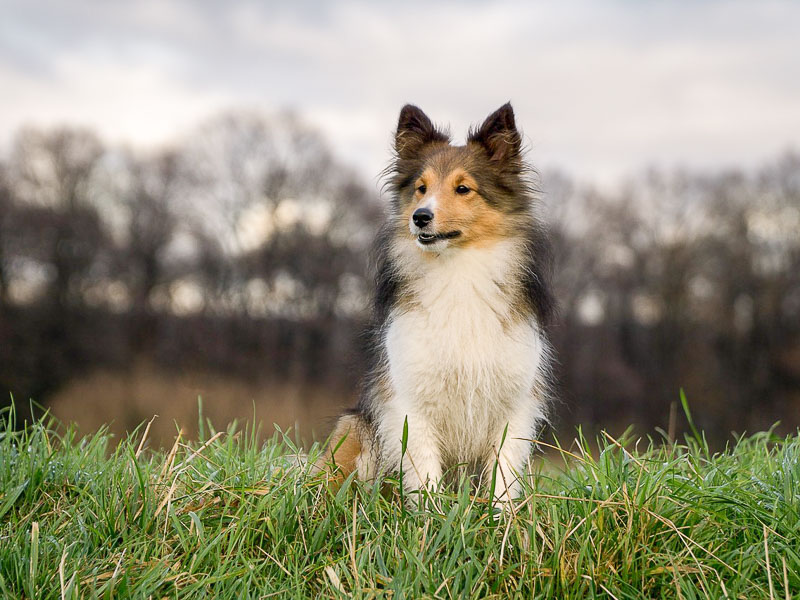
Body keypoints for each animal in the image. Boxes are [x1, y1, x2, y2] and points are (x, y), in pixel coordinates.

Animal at [318, 103, 556, 506]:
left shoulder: (514, 405)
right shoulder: (410, 404)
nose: (420, 217)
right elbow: (425, 471)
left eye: (463, 189)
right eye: (421, 188)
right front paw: (431, 517)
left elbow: (502, 477)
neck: (457, 271)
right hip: (353, 426)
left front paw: (501, 519)